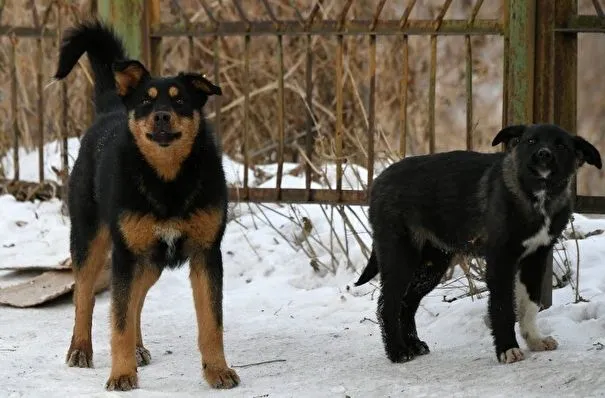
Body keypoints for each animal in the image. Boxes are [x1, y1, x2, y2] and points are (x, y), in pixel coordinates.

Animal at [53, 20, 239, 390]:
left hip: (150, 258)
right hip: (91, 239)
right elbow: (118, 322)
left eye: (180, 99)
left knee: (136, 299)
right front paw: (121, 374)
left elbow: (211, 323)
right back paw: (80, 349)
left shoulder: (206, 253)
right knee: (85, 296)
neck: (167, 182)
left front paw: (217, 370)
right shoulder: (125, 255)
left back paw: (138, 349)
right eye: (145, 101)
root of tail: (111, 107)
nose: (162, 117)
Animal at [354, 123, 600, 364]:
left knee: (407, 302)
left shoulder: (535, 258)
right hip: (401, 256)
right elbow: (502, 307)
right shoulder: (501, 261)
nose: (543, 154)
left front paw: (534, 340)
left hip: (432, 264)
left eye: (561, 145)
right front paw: (507, 349)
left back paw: (413, 345)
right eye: (531, 141)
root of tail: (378, 180)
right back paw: (397, 351)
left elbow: (529, 305)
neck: (537, 195)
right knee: (388, 304)